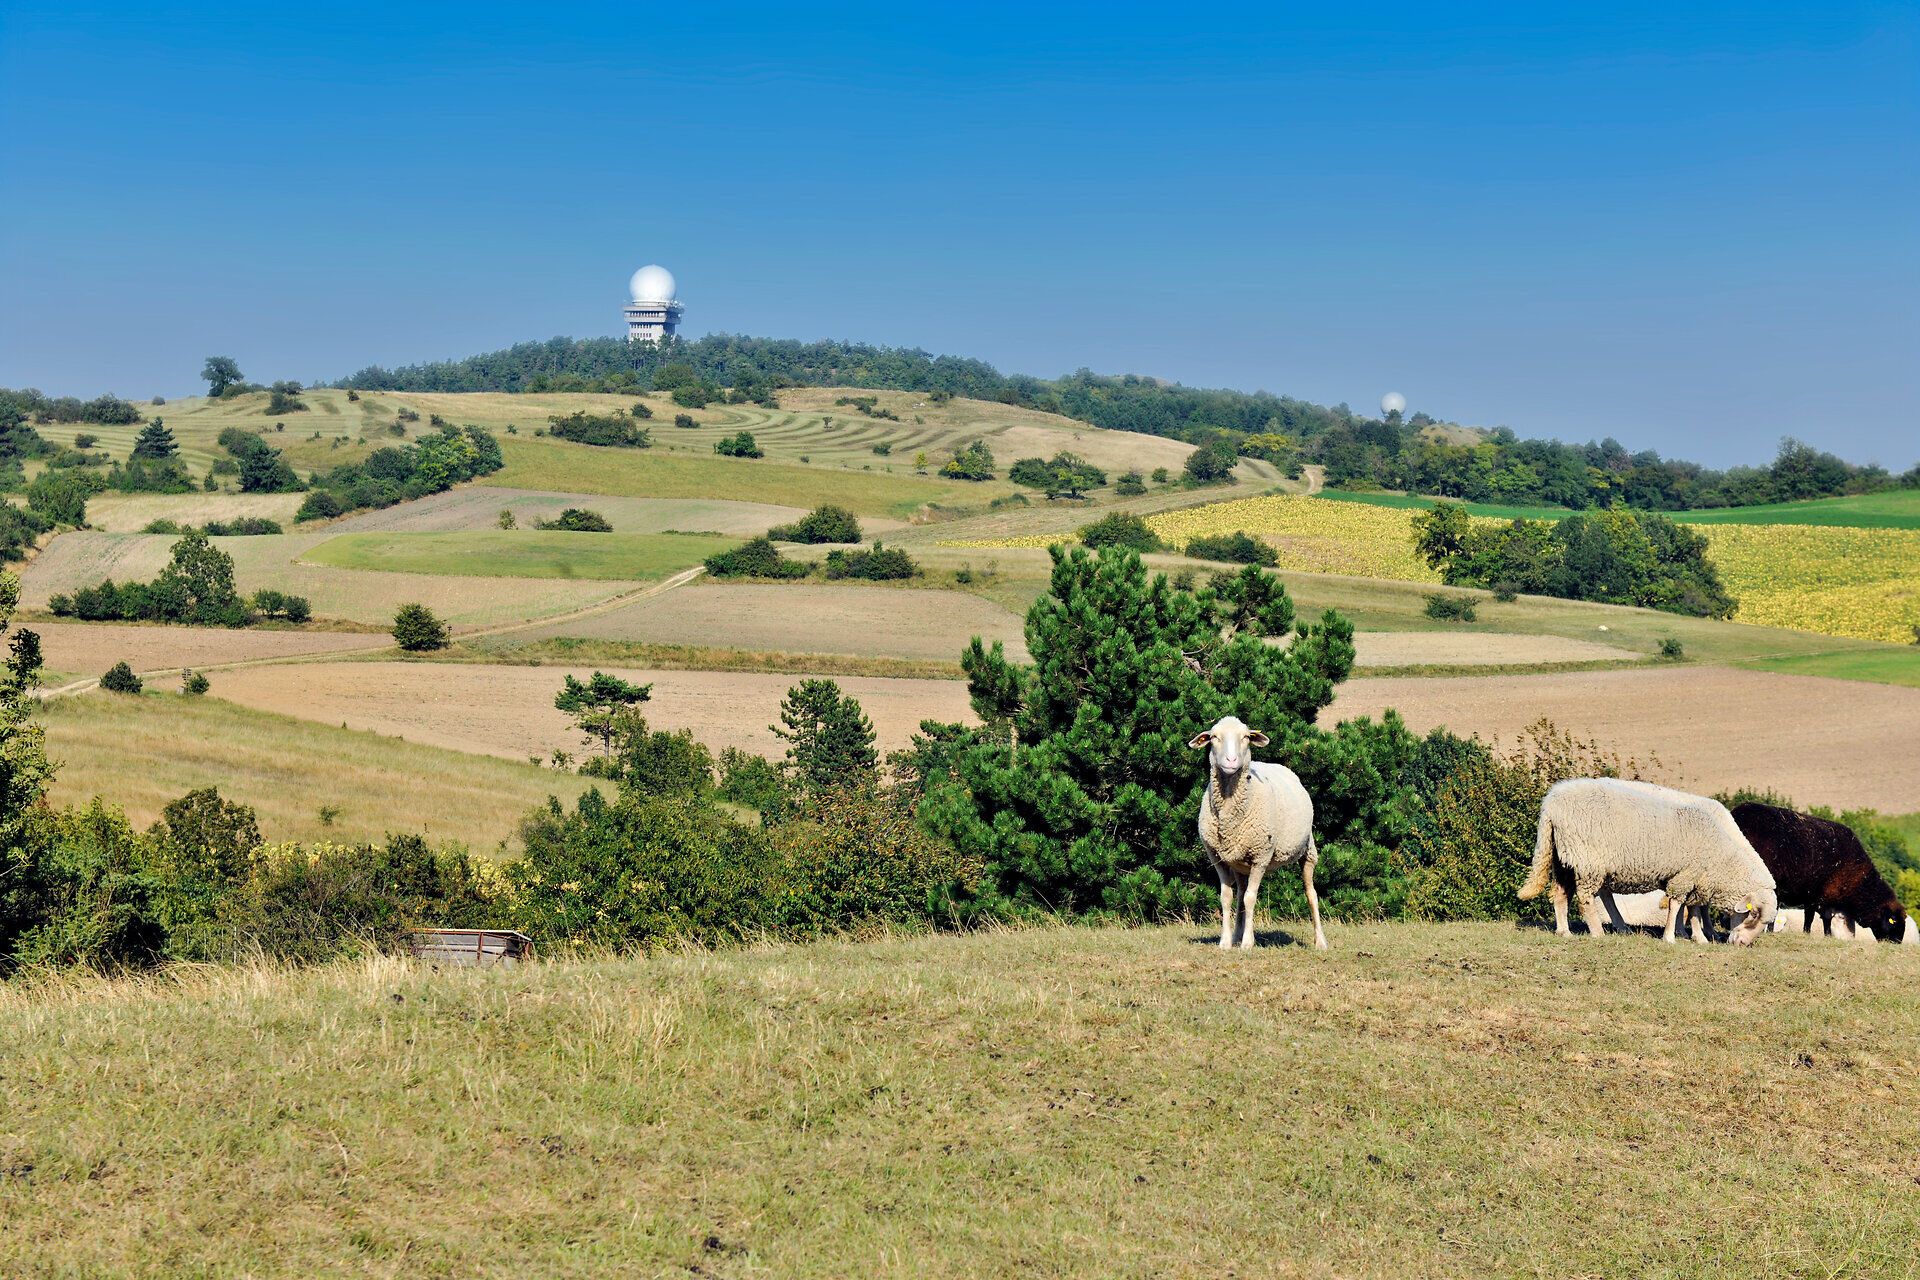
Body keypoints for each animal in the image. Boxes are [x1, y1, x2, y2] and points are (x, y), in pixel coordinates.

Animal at [1189, 715, 1326, 951]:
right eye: (1214, 737)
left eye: (1246, 737)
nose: (1231, 761)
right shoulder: (1217, 858)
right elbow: (1227, 897)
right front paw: (1226, 941)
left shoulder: (1261, 856)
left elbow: (1251, 898)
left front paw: (1247, 943)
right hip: (1239, 862)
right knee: (1240, 893)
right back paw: (1236, 934)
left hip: (1308, 849)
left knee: (1311, 893)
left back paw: (1320, 941)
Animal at [1519, 778, 1777, 946]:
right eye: (1754, 915)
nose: (1742, 944)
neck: (1721, 855)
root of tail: (1551, 803)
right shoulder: (1685, 876)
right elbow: (1677, 906)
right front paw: (1673, 936)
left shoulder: (1695, 878)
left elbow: (1691, 908)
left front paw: (1698, 937)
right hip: (1588, 859)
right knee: (1586, 898)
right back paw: (1597, 932)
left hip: (1565, 858)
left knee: (1561, 893)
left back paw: (1565, 932)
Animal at [1731, 802, 1912, 944]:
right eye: (1894, 922)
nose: (1896, 944)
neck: (1858, 881)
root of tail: (1737, 812)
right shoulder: (1823, 896)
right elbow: (1826, 918)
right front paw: (1827, 936)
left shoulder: (1811, 895)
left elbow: (1809, 917)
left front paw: (1806, 933)